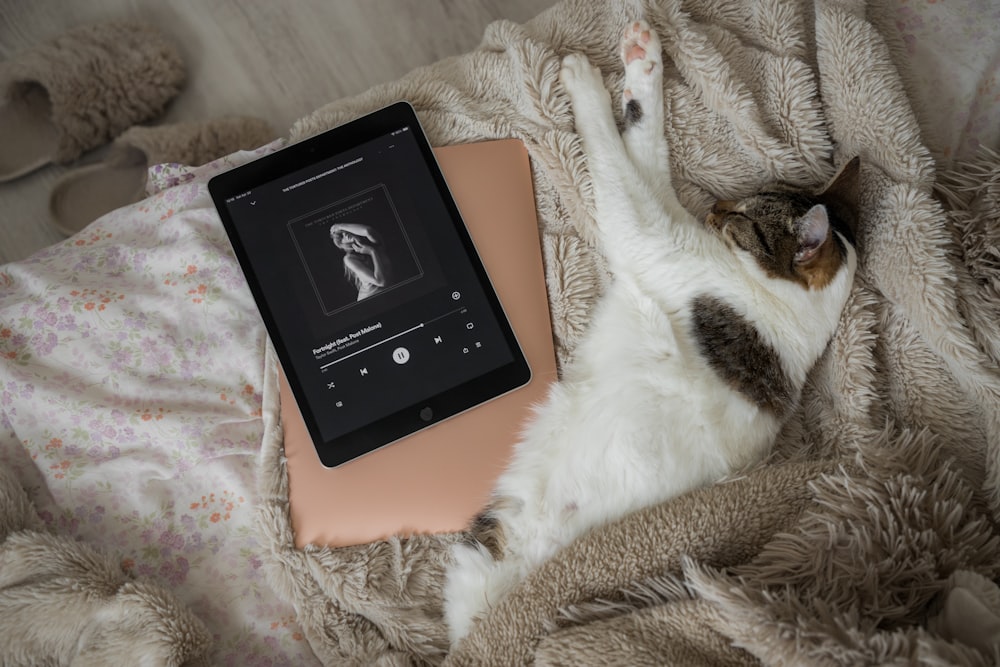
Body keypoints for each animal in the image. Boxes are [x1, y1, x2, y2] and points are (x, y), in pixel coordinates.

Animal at [446, 18, 860, 640]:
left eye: (744, 216)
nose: (716, 206)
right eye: (746, 197)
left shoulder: (646, 232)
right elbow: (646, 145)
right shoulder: (660, 213)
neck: (790, 313)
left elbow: (619, 162)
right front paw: (642, 60)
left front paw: (584, 83)